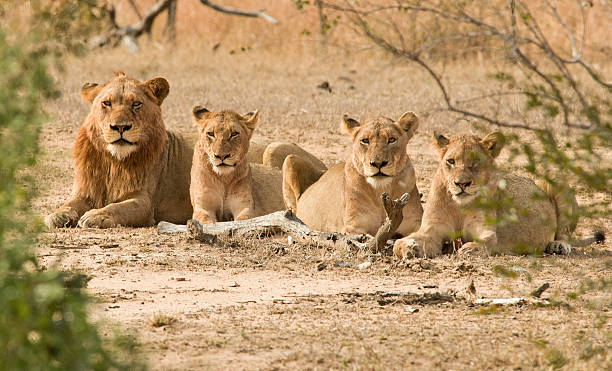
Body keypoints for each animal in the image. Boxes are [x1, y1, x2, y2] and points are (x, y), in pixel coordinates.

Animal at [191, 106, 328, 225]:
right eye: (210, 133)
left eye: (234, 134)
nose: (221, 156)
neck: (224, 178)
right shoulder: (203, 206)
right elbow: (205, 220)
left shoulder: (244, 206)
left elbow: (242, 220)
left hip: (273, 150)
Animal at [284, 112, 424, 235]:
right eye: (365, 140)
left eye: (392, 140)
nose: (378, 163)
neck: (380, 189)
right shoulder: (353, 227)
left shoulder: (416, 223)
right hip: (289, 159)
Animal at [394, 132, 580, 260]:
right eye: (451, 161)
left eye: (476, 162)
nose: (462, 184)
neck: (459, 206)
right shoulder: (433, 228)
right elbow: (399, 243)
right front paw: (409, 247)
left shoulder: (484, 229)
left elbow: (488, 240)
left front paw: (470, 249)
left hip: (555, 180)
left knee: (565, 232)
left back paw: (558, 245)